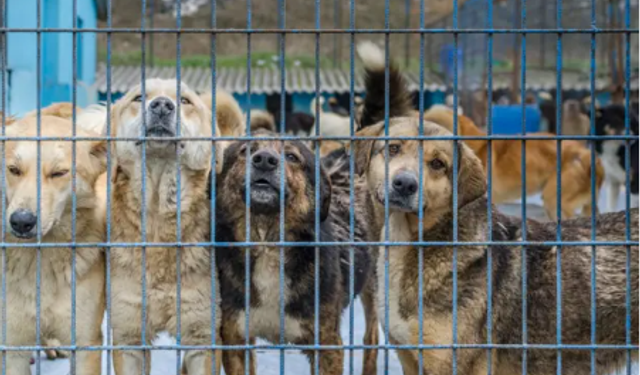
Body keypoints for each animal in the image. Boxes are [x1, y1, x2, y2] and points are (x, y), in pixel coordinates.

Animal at [214, 131, 380, 374]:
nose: (264, 160)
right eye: (246, 151)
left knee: (372, 337)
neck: (267, 243)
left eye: (292, 157)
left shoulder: (327, 345)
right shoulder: (235, 339)